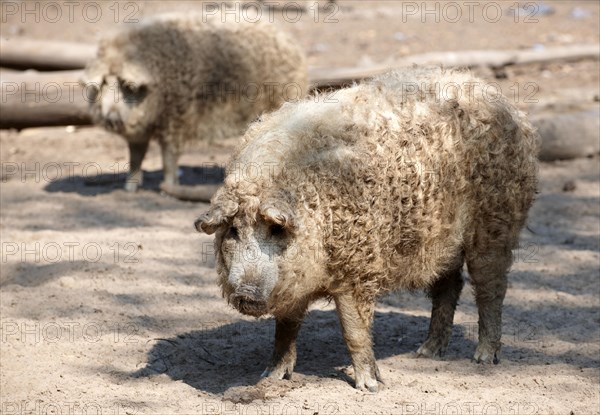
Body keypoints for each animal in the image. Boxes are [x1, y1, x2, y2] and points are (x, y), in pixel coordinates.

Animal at [193, 66, 540, 392]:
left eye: (275, 230)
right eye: (233, 231)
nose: (246, 292)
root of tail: (500, 100)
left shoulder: (358, 268)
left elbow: (354, 329)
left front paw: (371, 386)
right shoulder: (294, 283)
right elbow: (286, 328)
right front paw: (271, 376)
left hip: (497, 224)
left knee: (490, 288)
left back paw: (483, 358)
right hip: (441, 240)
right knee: (449, 285)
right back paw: (426, 352)